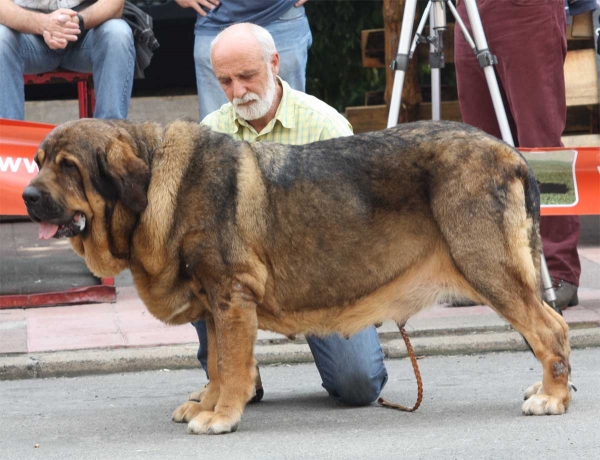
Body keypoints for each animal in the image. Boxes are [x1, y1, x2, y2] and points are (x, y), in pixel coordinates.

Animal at [22, 118, 572, 434]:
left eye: (69, 166)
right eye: (38, 161)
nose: (27, 196)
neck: (156, 175)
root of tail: (511, 153)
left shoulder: (231, 295)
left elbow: (232, 367)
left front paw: (221, 416)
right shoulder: (216, 304)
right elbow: (218, 364)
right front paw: (209, 404)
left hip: (488, 267)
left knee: (550, 329)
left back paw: (552, 397)